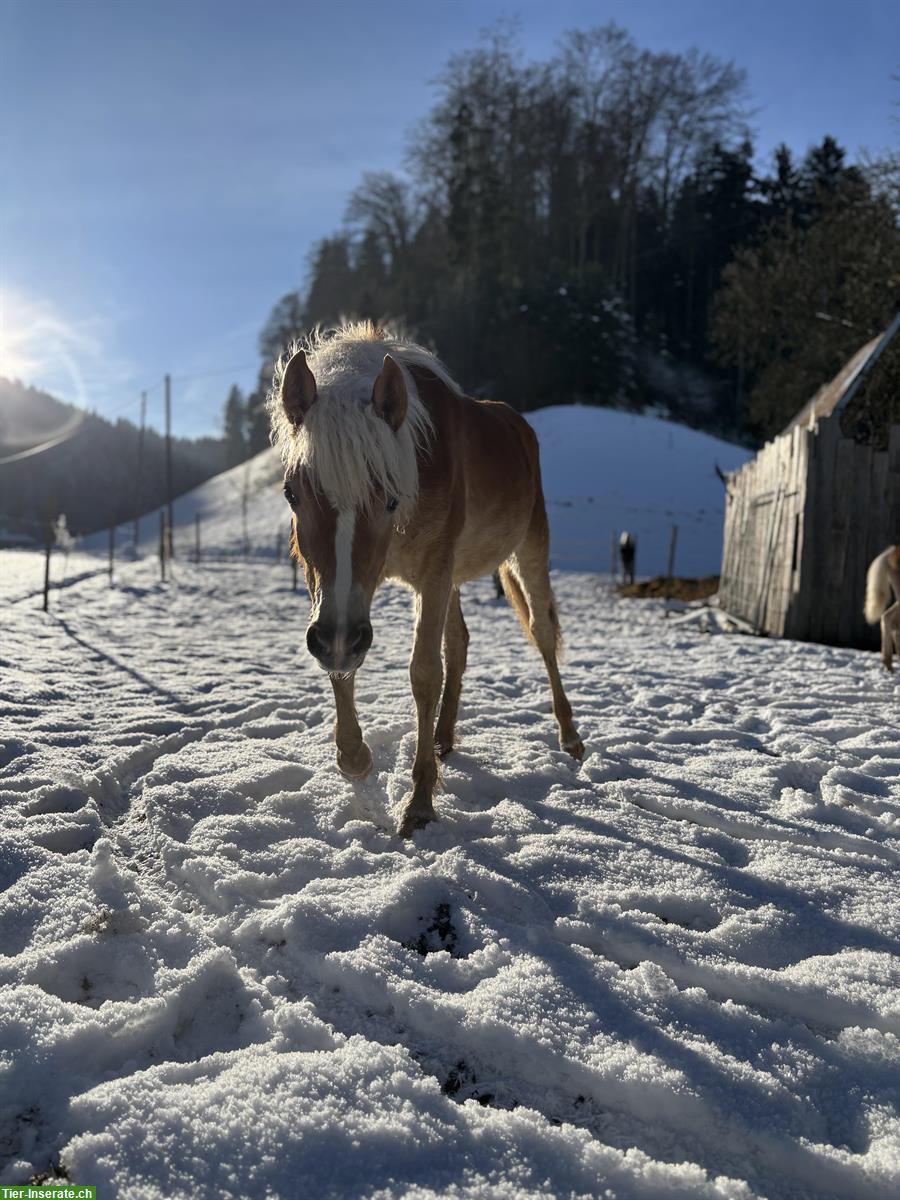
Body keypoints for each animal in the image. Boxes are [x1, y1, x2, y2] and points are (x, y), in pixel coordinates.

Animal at [267, 324, 585, 840]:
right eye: (291, 493)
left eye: (390, 501)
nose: (339, 638)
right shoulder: (339, 593)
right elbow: (345, 667)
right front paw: (355, 757)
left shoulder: (432, 574)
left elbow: (423, 674)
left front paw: (419, 802)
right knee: (459, 641)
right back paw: (443, 737)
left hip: (528, 548)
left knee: (541, 633)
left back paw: (570, 736)